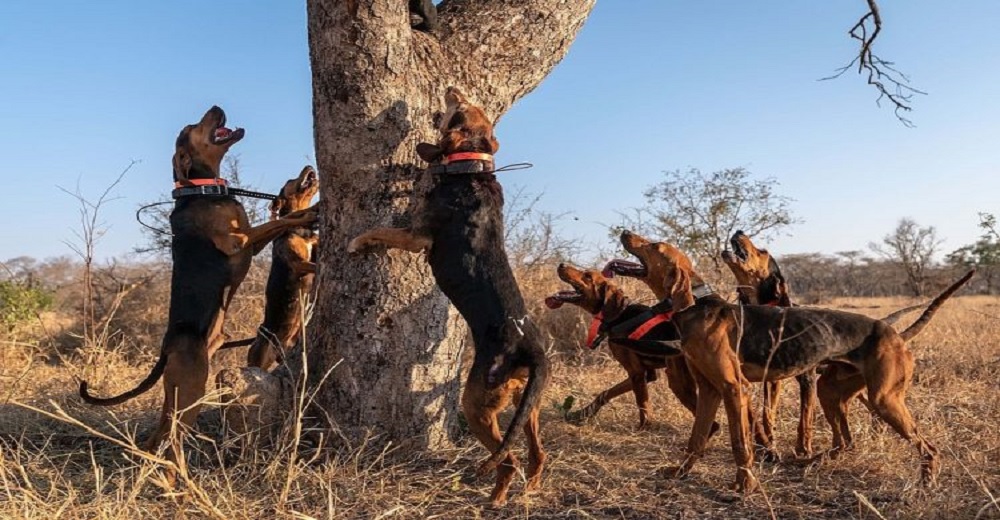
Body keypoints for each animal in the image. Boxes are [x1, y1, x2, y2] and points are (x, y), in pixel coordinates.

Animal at [244, 166, 318, 370]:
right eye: (289, 180)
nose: (309, 166)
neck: (303, 230)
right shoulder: (296, 263)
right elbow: (315, 265)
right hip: (258, 358)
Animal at [348, 87, 552, 506]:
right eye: (470, 107)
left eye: (459, 109)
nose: (453, 89)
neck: (470, 168)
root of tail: (532, 350)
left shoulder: (415, 236)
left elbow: (381, 229)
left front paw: (357, 241)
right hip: (528, 404)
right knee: (538, 453)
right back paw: (529, 490)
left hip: (477, 405)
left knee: (507, 461)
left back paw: (495, 498)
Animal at [548, 262, 704, 428]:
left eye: (588, 276)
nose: (561, 264)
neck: (620, 314)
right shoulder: (645, 374)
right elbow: (607, 392)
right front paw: (583, 413)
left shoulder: (637, 373)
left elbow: (643, 405)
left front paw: (644, 428)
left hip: (680, 378)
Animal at [608, 230, 968, 494]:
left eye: (654, 245)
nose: (624, 232)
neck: (695, 304)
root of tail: (894, 333)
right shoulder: (710, 390)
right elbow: (696, 439)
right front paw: (681, 473)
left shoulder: (733, 389)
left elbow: (740, 443)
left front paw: (745, 484)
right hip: (829, 390)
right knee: (846, 440)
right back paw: (811, 462)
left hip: (884, 400)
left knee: (928, 447)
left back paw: (926, 483)